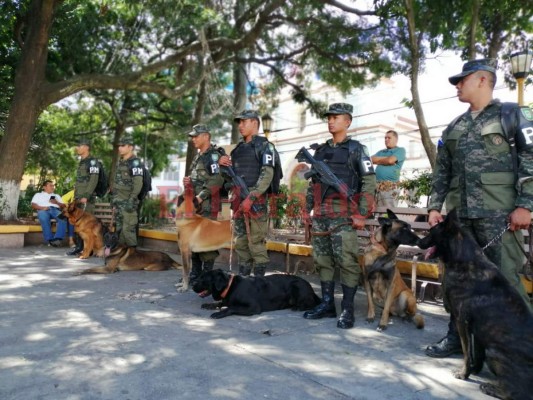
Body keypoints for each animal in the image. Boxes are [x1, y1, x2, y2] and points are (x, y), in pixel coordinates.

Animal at [192, 268, 320, 318]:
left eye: (203, 279)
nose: (192, 285)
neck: (230, 286)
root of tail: (311, 289)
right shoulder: (225, 299)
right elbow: (220, 303)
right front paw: (209, 305)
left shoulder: (253, 307)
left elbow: (231, 307)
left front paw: (219, 313)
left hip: (296, 285)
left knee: (311, 303)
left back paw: (298, 307)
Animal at [418, 209, 532, 400]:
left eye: (431, 232)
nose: (418, 241)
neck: (463, 259)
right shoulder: (477, 330)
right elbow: (476, 355)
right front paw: (474, 370)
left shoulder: (461, 321)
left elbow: (466, 353)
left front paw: (464, 374)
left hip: (494, 352)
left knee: (516, 392)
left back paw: (490, 388)